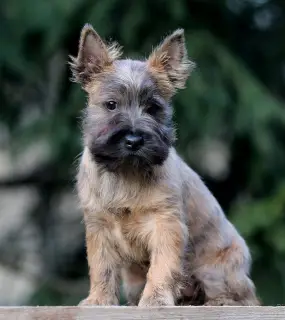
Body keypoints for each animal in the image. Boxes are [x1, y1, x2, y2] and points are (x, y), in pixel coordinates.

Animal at [70, 23, 258, 306]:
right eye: (111, 105)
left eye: (153, 108)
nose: (134, 140)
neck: (126, 172)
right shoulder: (99, 227)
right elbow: (102, 266)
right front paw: (99, 299)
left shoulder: (166, 224)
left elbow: (163, 264)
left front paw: (156, 298)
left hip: (217, 270)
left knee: (240, 296)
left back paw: (217, 302)